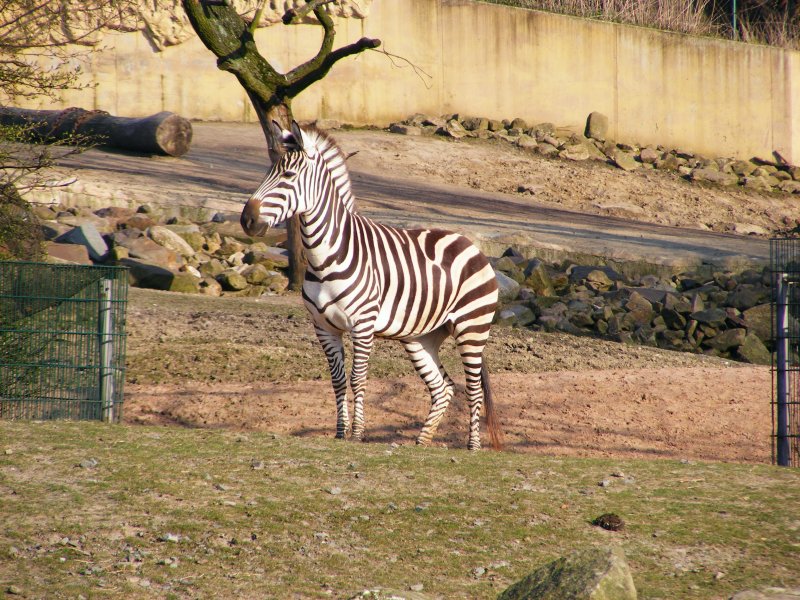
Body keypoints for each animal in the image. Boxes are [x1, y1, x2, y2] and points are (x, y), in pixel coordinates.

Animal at [239, 120, 500, 450]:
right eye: (267, 171)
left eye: (288, 176)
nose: (247, 220)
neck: (325, 255)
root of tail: (468, 241)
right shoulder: (323, 327)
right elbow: (338, 380)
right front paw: (340, 433)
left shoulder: (362, 325)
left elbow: (357, 378)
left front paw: (357, 434)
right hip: (421, 336)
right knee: (444, 387)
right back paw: (421, 441)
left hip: (472, 328)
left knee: (474, 389)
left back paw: (472, 447)